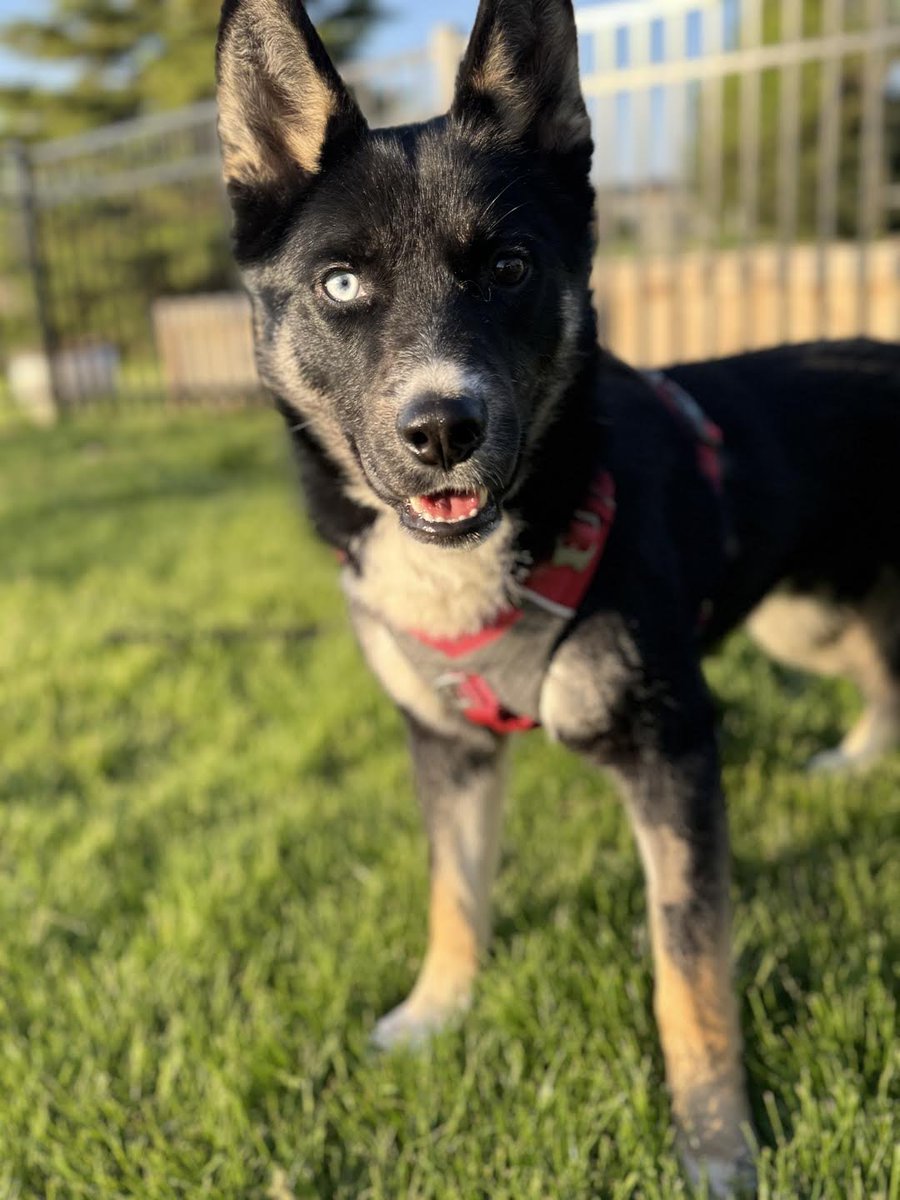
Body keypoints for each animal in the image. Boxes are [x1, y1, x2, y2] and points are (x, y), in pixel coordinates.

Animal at [217, 2, 900, 1190]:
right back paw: (861, 757)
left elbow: (689, 973)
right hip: (802, 618)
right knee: (876, 667)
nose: (443, 430)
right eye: (341, 283)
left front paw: (716, 1145)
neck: (481, 565)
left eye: (508, 266)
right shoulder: (447, 748)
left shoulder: (670, 754)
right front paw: (435, 1010)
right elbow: (454, 890)